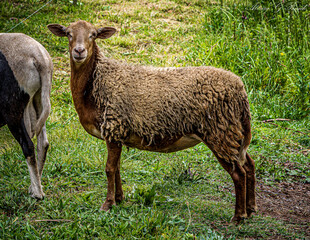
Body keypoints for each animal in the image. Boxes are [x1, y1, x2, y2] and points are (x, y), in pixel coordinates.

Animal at [47, 20, 256, 221]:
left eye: (93, 35)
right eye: (68, 34)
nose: (79, 51)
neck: (95, 83)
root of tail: (240, 89)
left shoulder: (113, 127)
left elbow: (109, 169)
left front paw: (107, 204)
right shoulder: (118, 134)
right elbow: (117, 168)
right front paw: (119, 199)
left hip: (220, 132)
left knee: (238, 173)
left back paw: (238, 216)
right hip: (233, 131)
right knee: (249, 165)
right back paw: (251, 209)